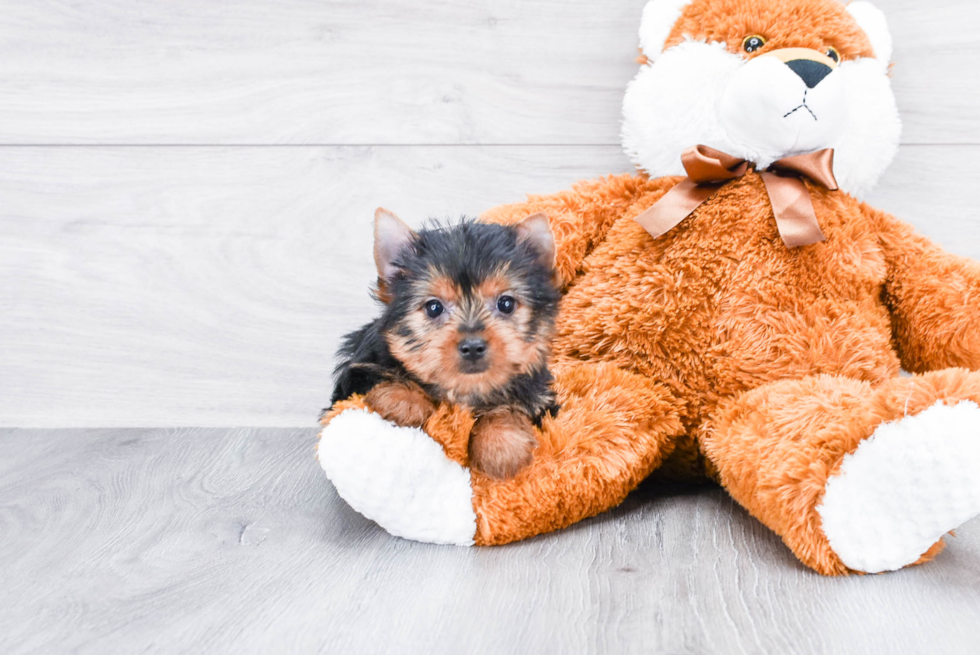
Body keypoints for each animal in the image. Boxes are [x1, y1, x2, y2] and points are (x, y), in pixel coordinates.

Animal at [330, 208, 560, 480]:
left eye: (506, 304)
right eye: (434, 308)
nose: (473, 346)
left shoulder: (540, 395)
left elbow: (516, 404)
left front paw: (501, 442)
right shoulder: (356, 370)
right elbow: (375, 374)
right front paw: (403, 398)